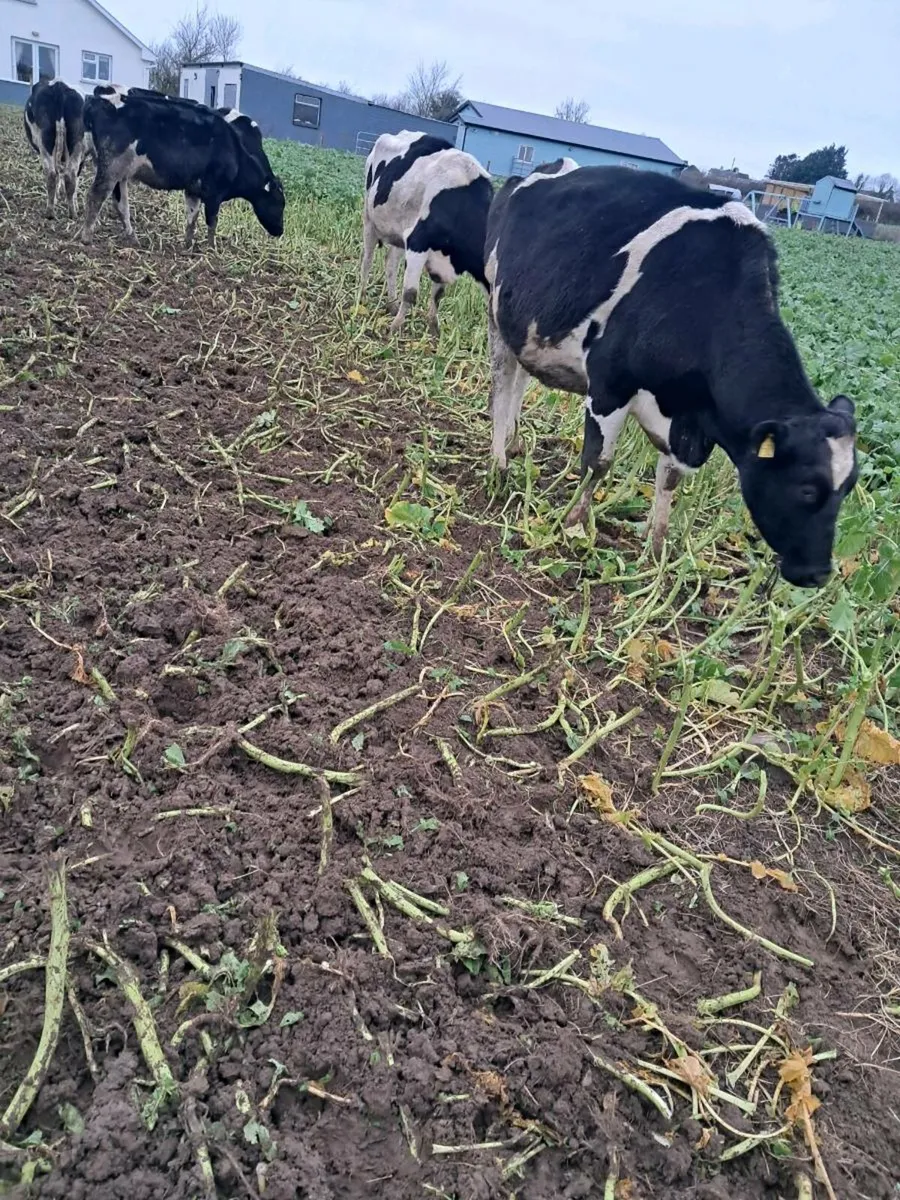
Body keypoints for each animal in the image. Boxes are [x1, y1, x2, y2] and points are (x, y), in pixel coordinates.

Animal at [23, 79, 86, 218]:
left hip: (45, 139)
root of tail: (59, 85)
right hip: (74, 142)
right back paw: (71, 213)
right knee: (68, 176)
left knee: (53, 174)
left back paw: (52, 212)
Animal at [80, 87, 285, 249]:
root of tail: (99, 100)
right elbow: (212, 222)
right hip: (112, 167)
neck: (235, 154)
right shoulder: (214, 193)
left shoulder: (193, 189)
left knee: (120, 203)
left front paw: (187, 245)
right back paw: (86, 238)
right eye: (279, 203)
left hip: (120, 172)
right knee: (96, 195)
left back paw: (132, 238)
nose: (280, 231)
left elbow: (191, 217)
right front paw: (212, 249)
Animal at [361, 131, 494, 336]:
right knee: (367, 260)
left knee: (390, 264)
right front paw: (395, 328)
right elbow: (410, 293)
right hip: (369, 218)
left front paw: (433, 328)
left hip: (399, 234)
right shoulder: (418, 242)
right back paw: (361, 299)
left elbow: (438, 295)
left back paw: (392, 305)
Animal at [485, 164, 858, 588]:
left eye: (849, 488)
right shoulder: (610, 385)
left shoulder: (684, 421)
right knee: (501, 385)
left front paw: (657, 545)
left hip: (526, 332)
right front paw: (575, 525)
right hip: (496, 311)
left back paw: (513, 442)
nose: (818, 573)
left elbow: (670, 478)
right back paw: (499, 462)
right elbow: (598, 462)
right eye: (807, 488)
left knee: (519, 380)